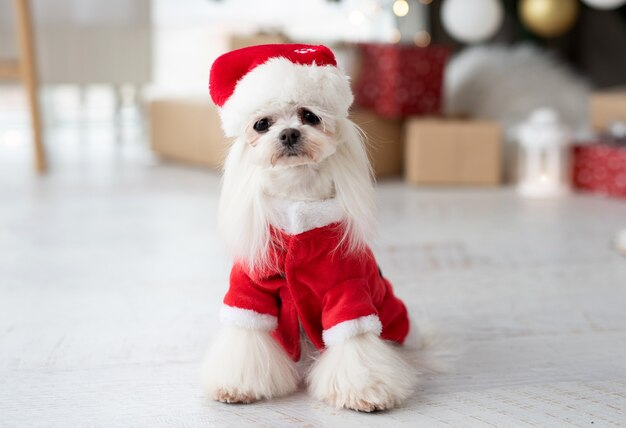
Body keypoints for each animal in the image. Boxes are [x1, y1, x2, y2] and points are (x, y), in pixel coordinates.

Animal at [202, 43, 416, 412]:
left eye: (310, 116)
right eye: (261, 124)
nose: (289, 133)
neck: (296, 200)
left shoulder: (346, 289)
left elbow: (354, 339)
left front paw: (366, 390)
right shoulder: (250, 289)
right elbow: (247, 331)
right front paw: (237, 385)